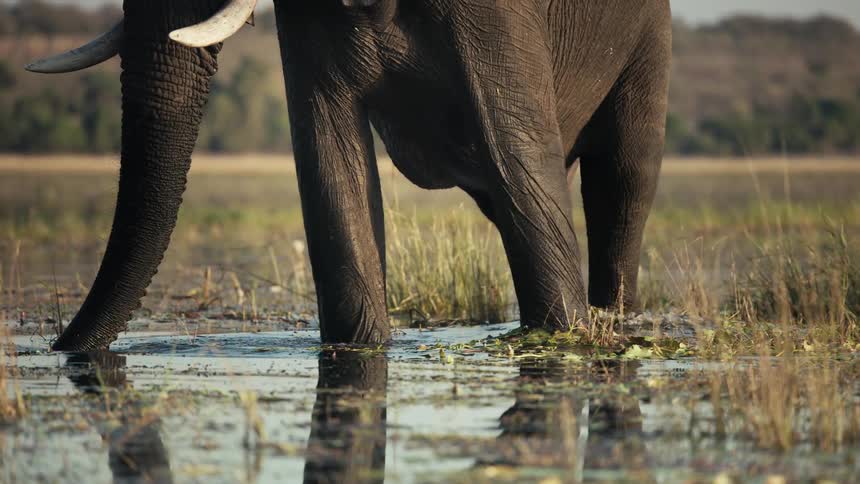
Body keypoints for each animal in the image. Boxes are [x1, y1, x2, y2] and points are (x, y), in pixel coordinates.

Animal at [28, 0, 672, 351]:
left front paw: (566, 335)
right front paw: (361, 345)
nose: (62, 350)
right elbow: (329, 158)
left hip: (650, 32)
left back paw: (615, 317)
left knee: (622, 177)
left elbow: (519, 158)